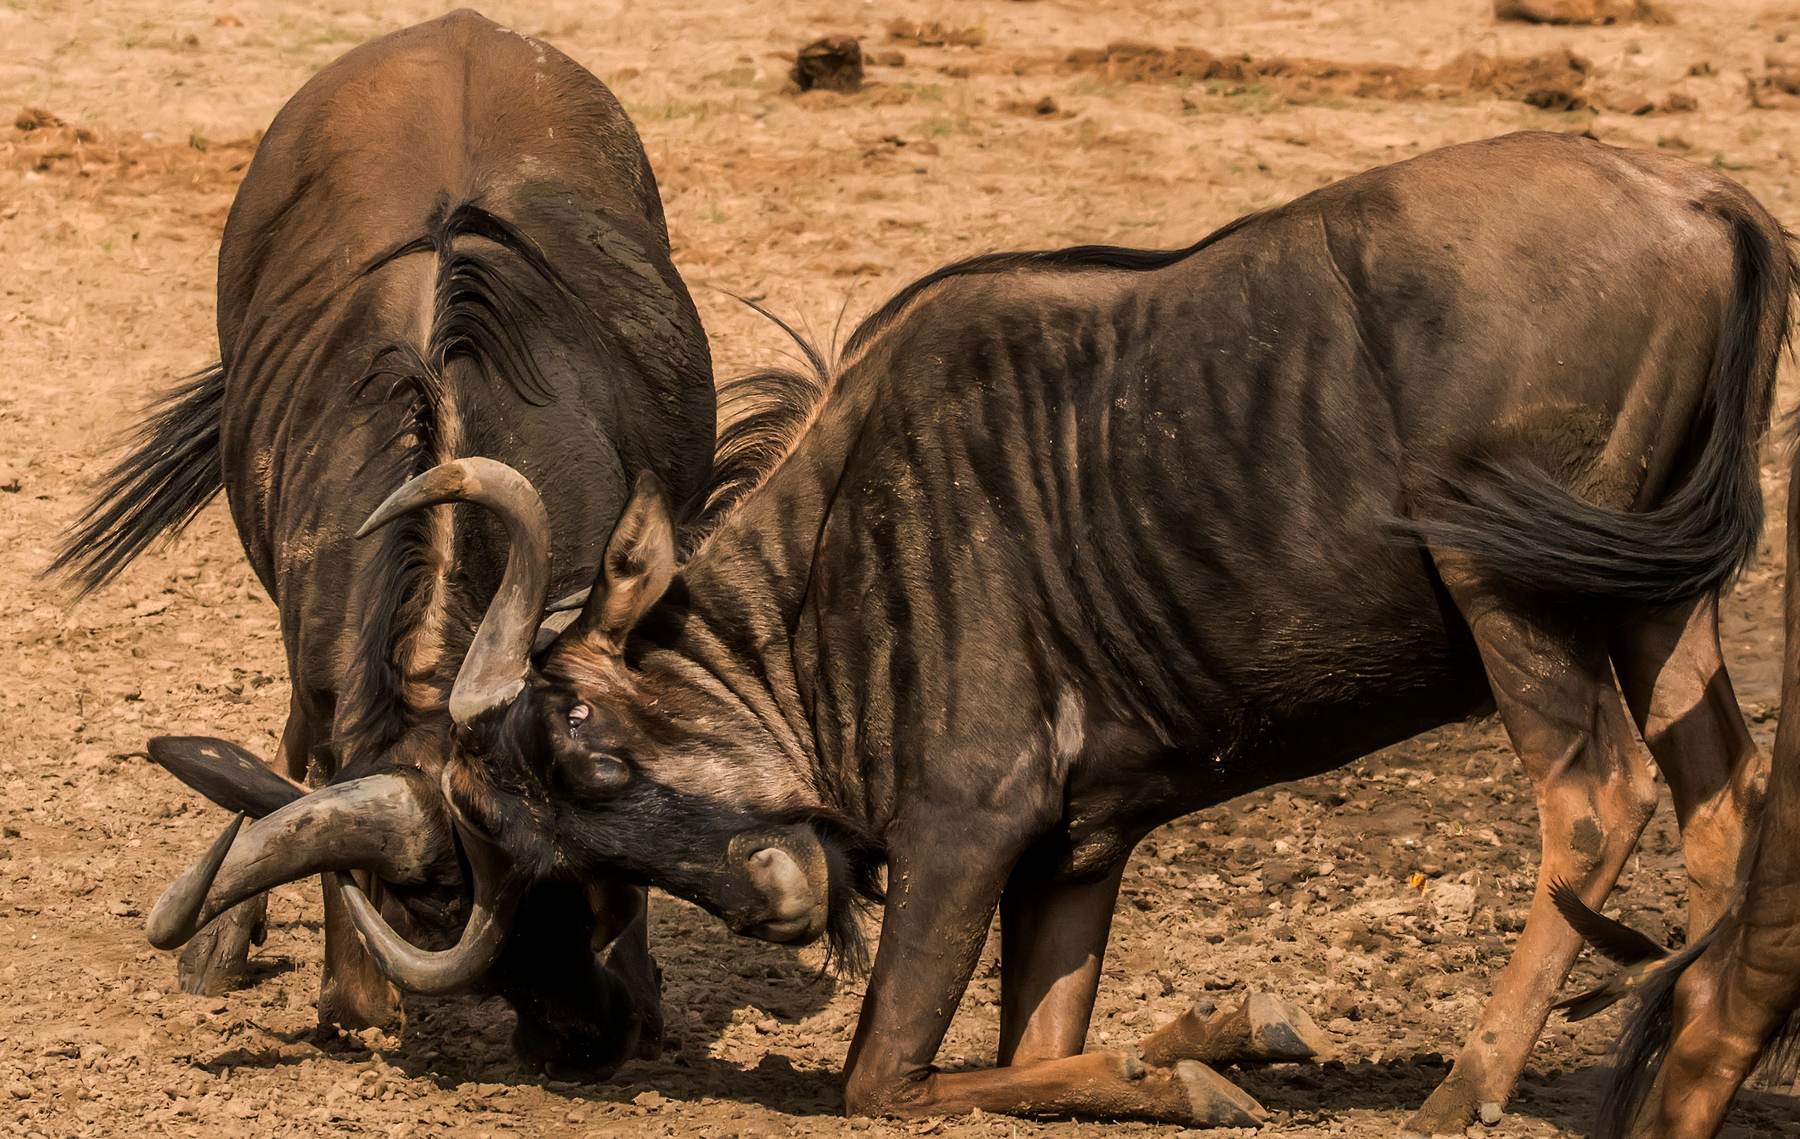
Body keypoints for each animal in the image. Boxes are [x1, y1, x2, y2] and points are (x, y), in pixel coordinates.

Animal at [53, 10, 718, 1075]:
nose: (587, 1033)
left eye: (583, 869)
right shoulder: (330, 682)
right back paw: (221, 943)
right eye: (436, 896)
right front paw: (330, 983)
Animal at [148, 131, 1793, 1129]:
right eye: (560, 858)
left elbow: (884, 1079)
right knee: (1725, 804)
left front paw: (1207, 1049)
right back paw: (1668, 1079)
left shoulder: (966, 834)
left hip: (1517, 596)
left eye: (591, 746)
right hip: (1656, 608)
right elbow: (1031, 1054)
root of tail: (1696, 201)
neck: (834, 577)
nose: (780, 895)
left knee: (1598, 799)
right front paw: (1205, 1045)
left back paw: (1468, 1085)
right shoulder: (1076, 850)